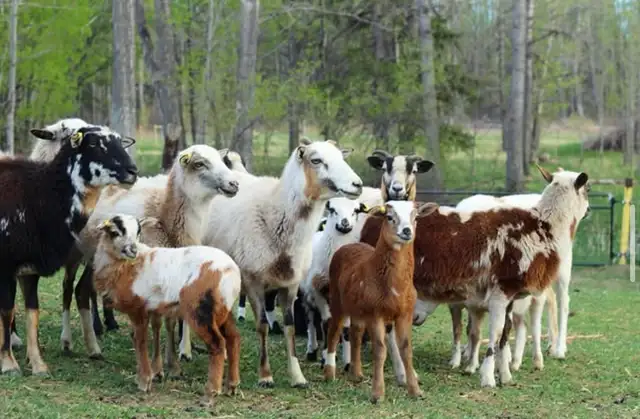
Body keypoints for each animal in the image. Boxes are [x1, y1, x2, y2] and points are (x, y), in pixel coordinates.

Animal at [0, 125, 138, 376]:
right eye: (92, 144)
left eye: (119, 141)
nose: (132, 171)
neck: (40, 194)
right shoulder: (6, 265)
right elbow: (7, 312)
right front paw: (8, 364)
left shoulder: (30, 268)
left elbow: (32, 313)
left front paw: (38, 365)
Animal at [92, 214, 241, 402]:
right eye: (115, 232)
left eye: (138, 233)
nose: (133, 250)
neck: (126, 267)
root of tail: (232, 272)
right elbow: (140, 337)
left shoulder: (138, 309)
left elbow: (140, 341)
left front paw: (145, 381)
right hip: (223, 309)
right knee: (233, 338)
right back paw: (232, 385)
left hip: (201, 310)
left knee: (217, 344)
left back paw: (211, 392)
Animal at [201, 138, 363, 388]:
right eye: (316, 160)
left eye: (341, 157)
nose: (358, 184)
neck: (275, 211)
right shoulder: (253, 281)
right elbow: (262, 326)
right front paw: (265, 375)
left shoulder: (291, 283)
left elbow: (289, 327)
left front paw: (297, 376)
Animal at [324, 201, 438, 403]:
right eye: (389, 217)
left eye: (415, 217)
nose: (407, 231)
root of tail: (349, 244)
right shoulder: (376, 314)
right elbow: (380, 350)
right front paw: (377, 394)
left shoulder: (404, 314)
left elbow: (406, 350)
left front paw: (415, 391)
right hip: (337, 299)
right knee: (334, 331)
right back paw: (330, 374)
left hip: (359, 309)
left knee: (355, 333)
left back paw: (356, 373)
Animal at [359, 165, 590, 387]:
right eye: (587, 189)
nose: (589, 210)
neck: (545, 227)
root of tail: (372, 221)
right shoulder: (499, 293)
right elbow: (495, 334)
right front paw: (487, 377)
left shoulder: (509, 297)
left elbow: (504, 335)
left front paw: (505, 376)